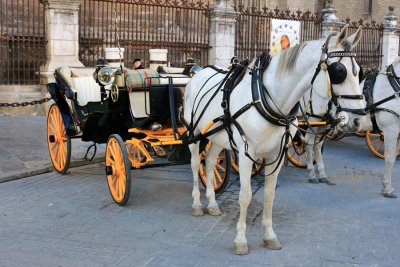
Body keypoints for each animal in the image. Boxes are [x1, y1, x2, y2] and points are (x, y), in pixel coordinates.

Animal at [184, 25, 366, 255]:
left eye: (359, 71)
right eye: (339, 72)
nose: (358, 119)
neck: (266, 98)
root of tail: (197, 73)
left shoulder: (275, 155)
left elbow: (269, 195)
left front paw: (270, 236)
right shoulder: (246, 155)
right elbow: (245, 195)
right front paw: (240, 240)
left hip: (217, 137)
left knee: (209, 163)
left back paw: (212, 204)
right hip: (194, 134)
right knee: (195, 164)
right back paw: (197, 205)